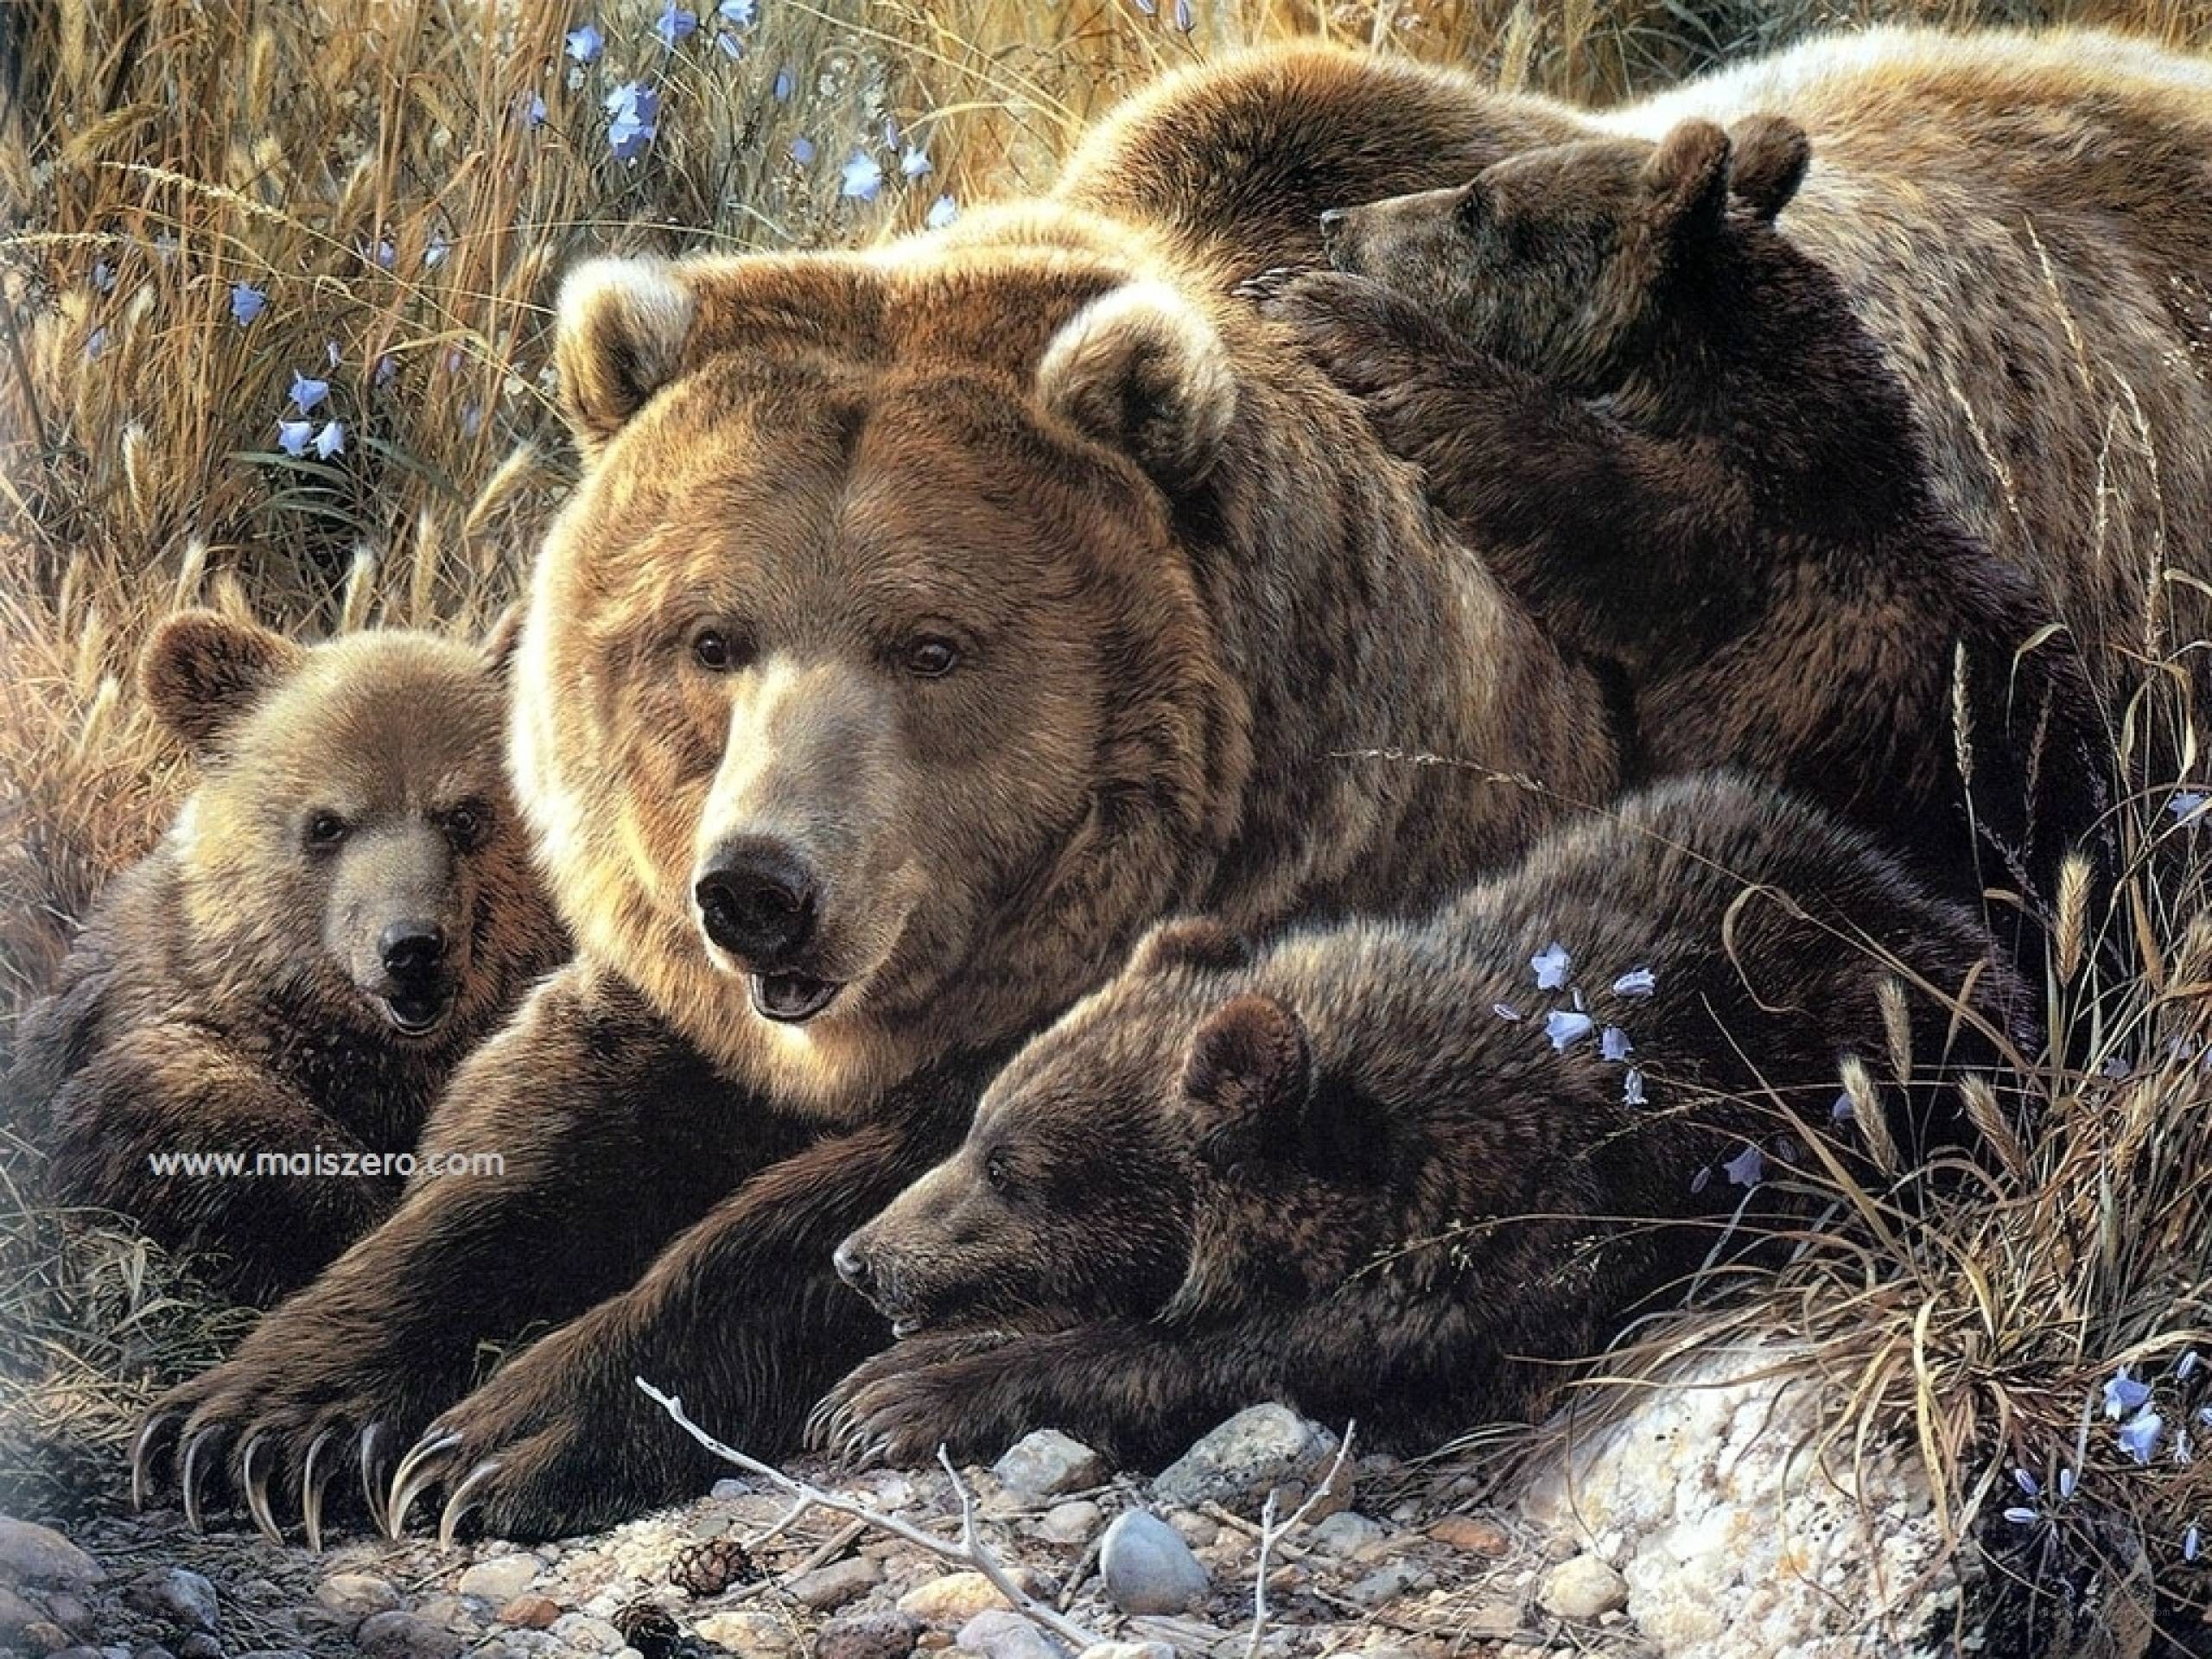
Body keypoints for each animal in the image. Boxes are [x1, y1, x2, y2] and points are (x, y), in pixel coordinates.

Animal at [127, 210, 1620, 1543]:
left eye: (933, 646)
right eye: (711, 637)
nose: (758, 891)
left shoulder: (1234, 919)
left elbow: (890, 1206)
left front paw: (502, 1436)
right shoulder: (673, 995)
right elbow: (524, 1139)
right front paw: (259, 1421)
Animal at [812, 772, 2032, 1468]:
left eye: (1010, 1169)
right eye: (975, 1130)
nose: (856, 1259)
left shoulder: (1502, 1255)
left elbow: (1252, 1359)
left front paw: (903, 1397)